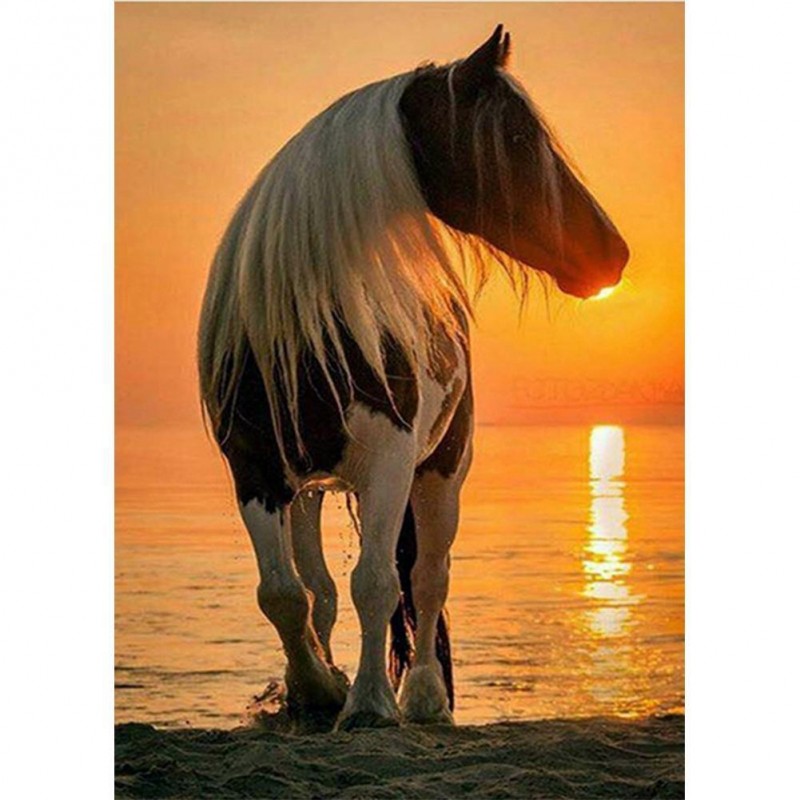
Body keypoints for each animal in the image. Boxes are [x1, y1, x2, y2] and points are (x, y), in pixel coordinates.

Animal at [198, 25, 628, 731]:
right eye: (516, 139)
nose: (613, 253)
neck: (310, 321)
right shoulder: (254, 468)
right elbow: (284, 594)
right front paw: (316, 688)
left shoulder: (392, 459)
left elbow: (379, 583)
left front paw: (371, 703)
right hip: (311, 490)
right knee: (320, 589)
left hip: (442, 470)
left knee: (427, 578)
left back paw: (423, 696)